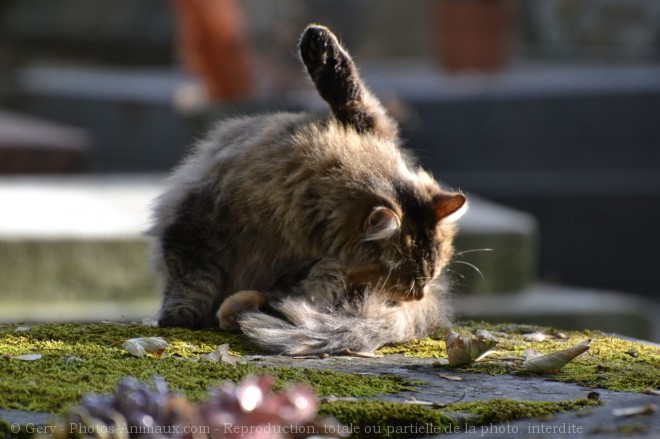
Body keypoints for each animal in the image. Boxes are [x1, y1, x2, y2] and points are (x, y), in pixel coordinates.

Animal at [151, 24, 466, 356]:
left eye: (428, 276)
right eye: (407, 280)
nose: (419, 294)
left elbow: (360, 101)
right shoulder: (199, 223)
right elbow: (192, 279)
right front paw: (180, 314)